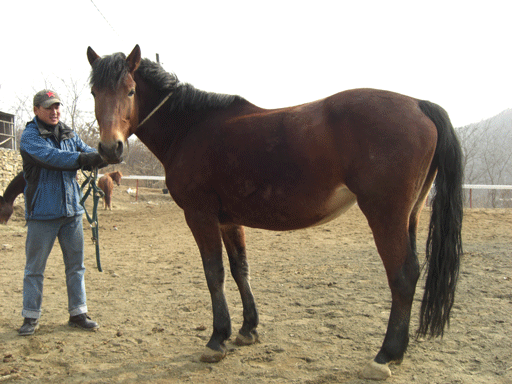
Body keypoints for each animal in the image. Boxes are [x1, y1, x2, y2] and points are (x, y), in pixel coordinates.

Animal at [87, 44, 464, 378]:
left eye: (131, 90)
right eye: (94, 92)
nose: (109, 148)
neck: (190, 128)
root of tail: (419, 105)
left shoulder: (200, 215)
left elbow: (214, 273)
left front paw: (217, 339)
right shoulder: (229, 221)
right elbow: (240, 269)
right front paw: (248, 329)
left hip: (385, 215)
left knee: (403, 276)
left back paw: (384, 355)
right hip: (410, 216)